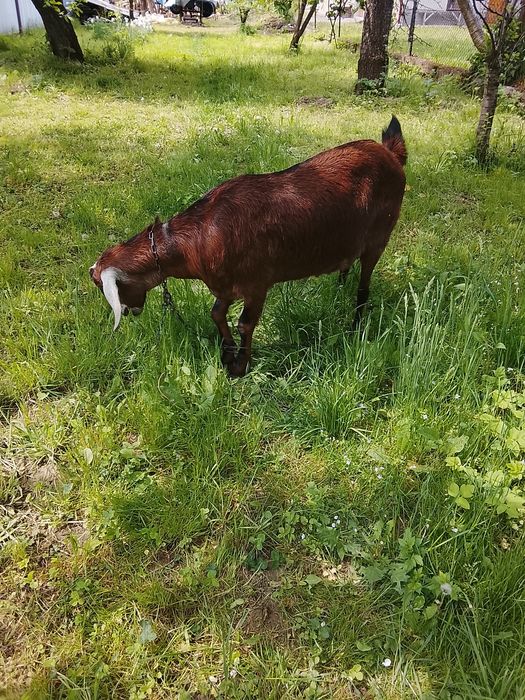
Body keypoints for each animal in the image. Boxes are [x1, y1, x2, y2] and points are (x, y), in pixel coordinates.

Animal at [90, 116, 407, 377]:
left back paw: (355, 324)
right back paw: (339, 289)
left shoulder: (257, 283)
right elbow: (216, 313)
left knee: (364, 285)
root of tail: (390, 153)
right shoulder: (226, 286)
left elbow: (245, 324)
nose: (129, 312)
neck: (200, 237)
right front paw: (227, 352)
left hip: (380, 236)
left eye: (101, 284)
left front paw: (240, 366)